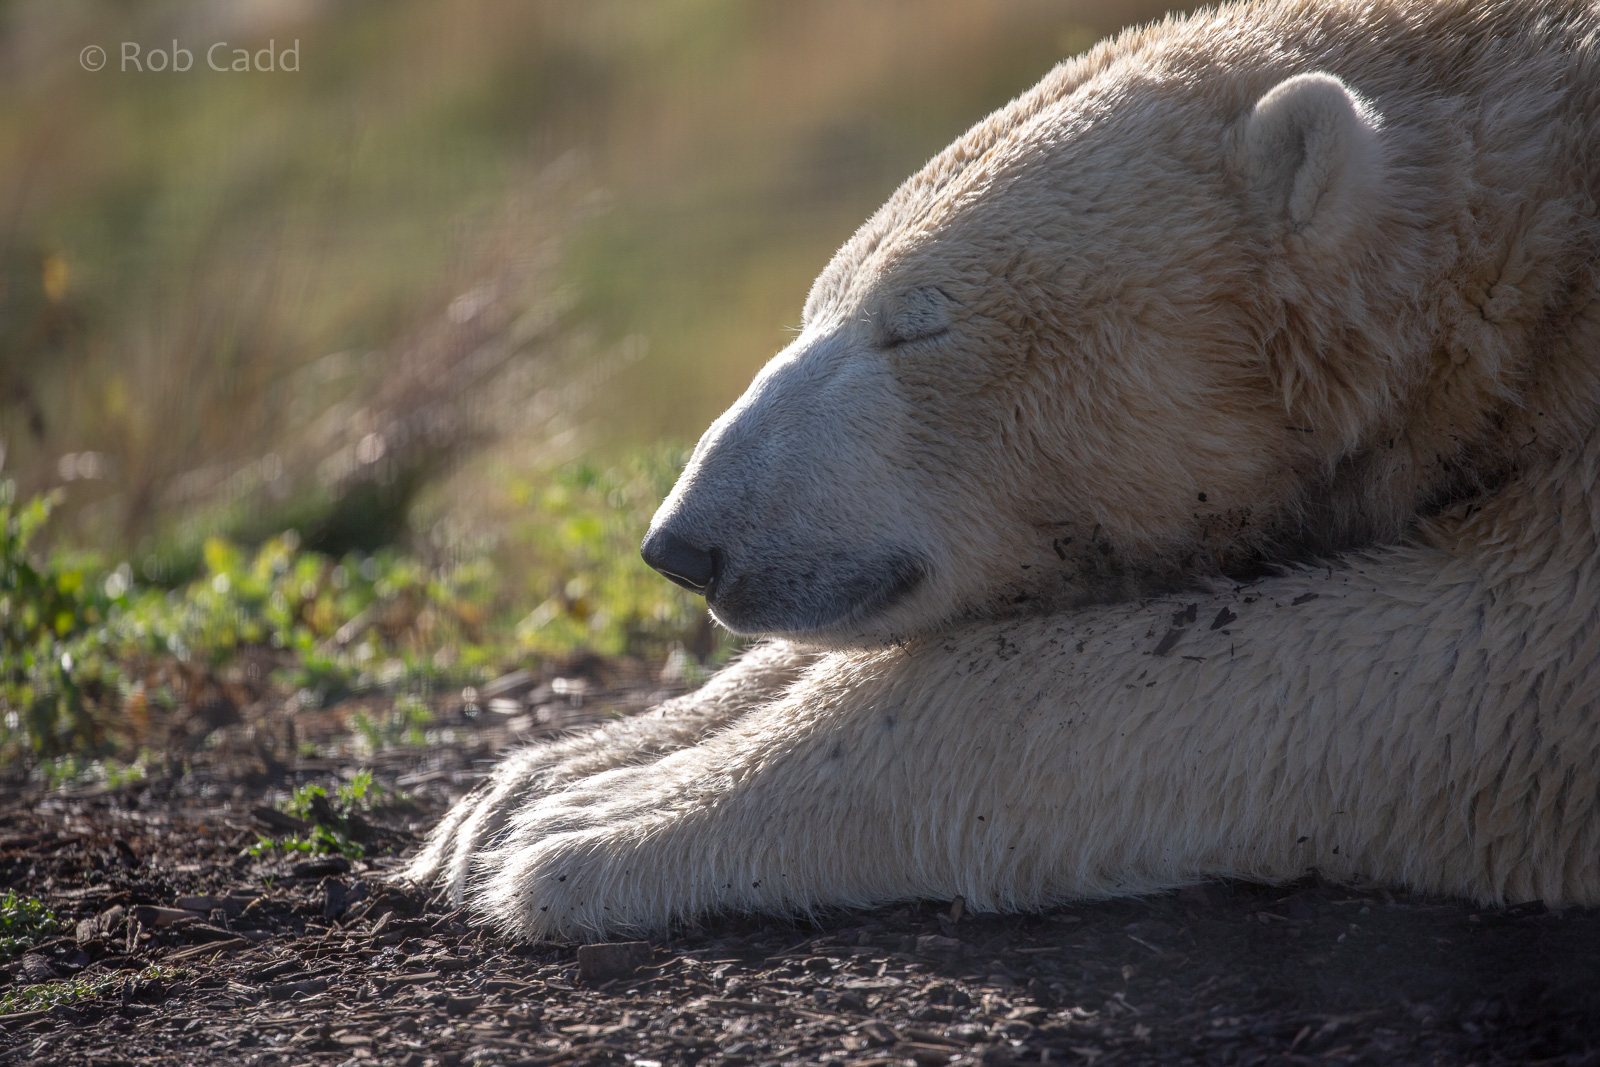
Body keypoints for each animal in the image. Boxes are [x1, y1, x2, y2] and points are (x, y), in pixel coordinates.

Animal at [408, 0, 1600, 938]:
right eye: (818, 303)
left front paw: (589, 827)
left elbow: (1421, 660)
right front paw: (531, 786)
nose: (684, 542)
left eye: (915, 323)